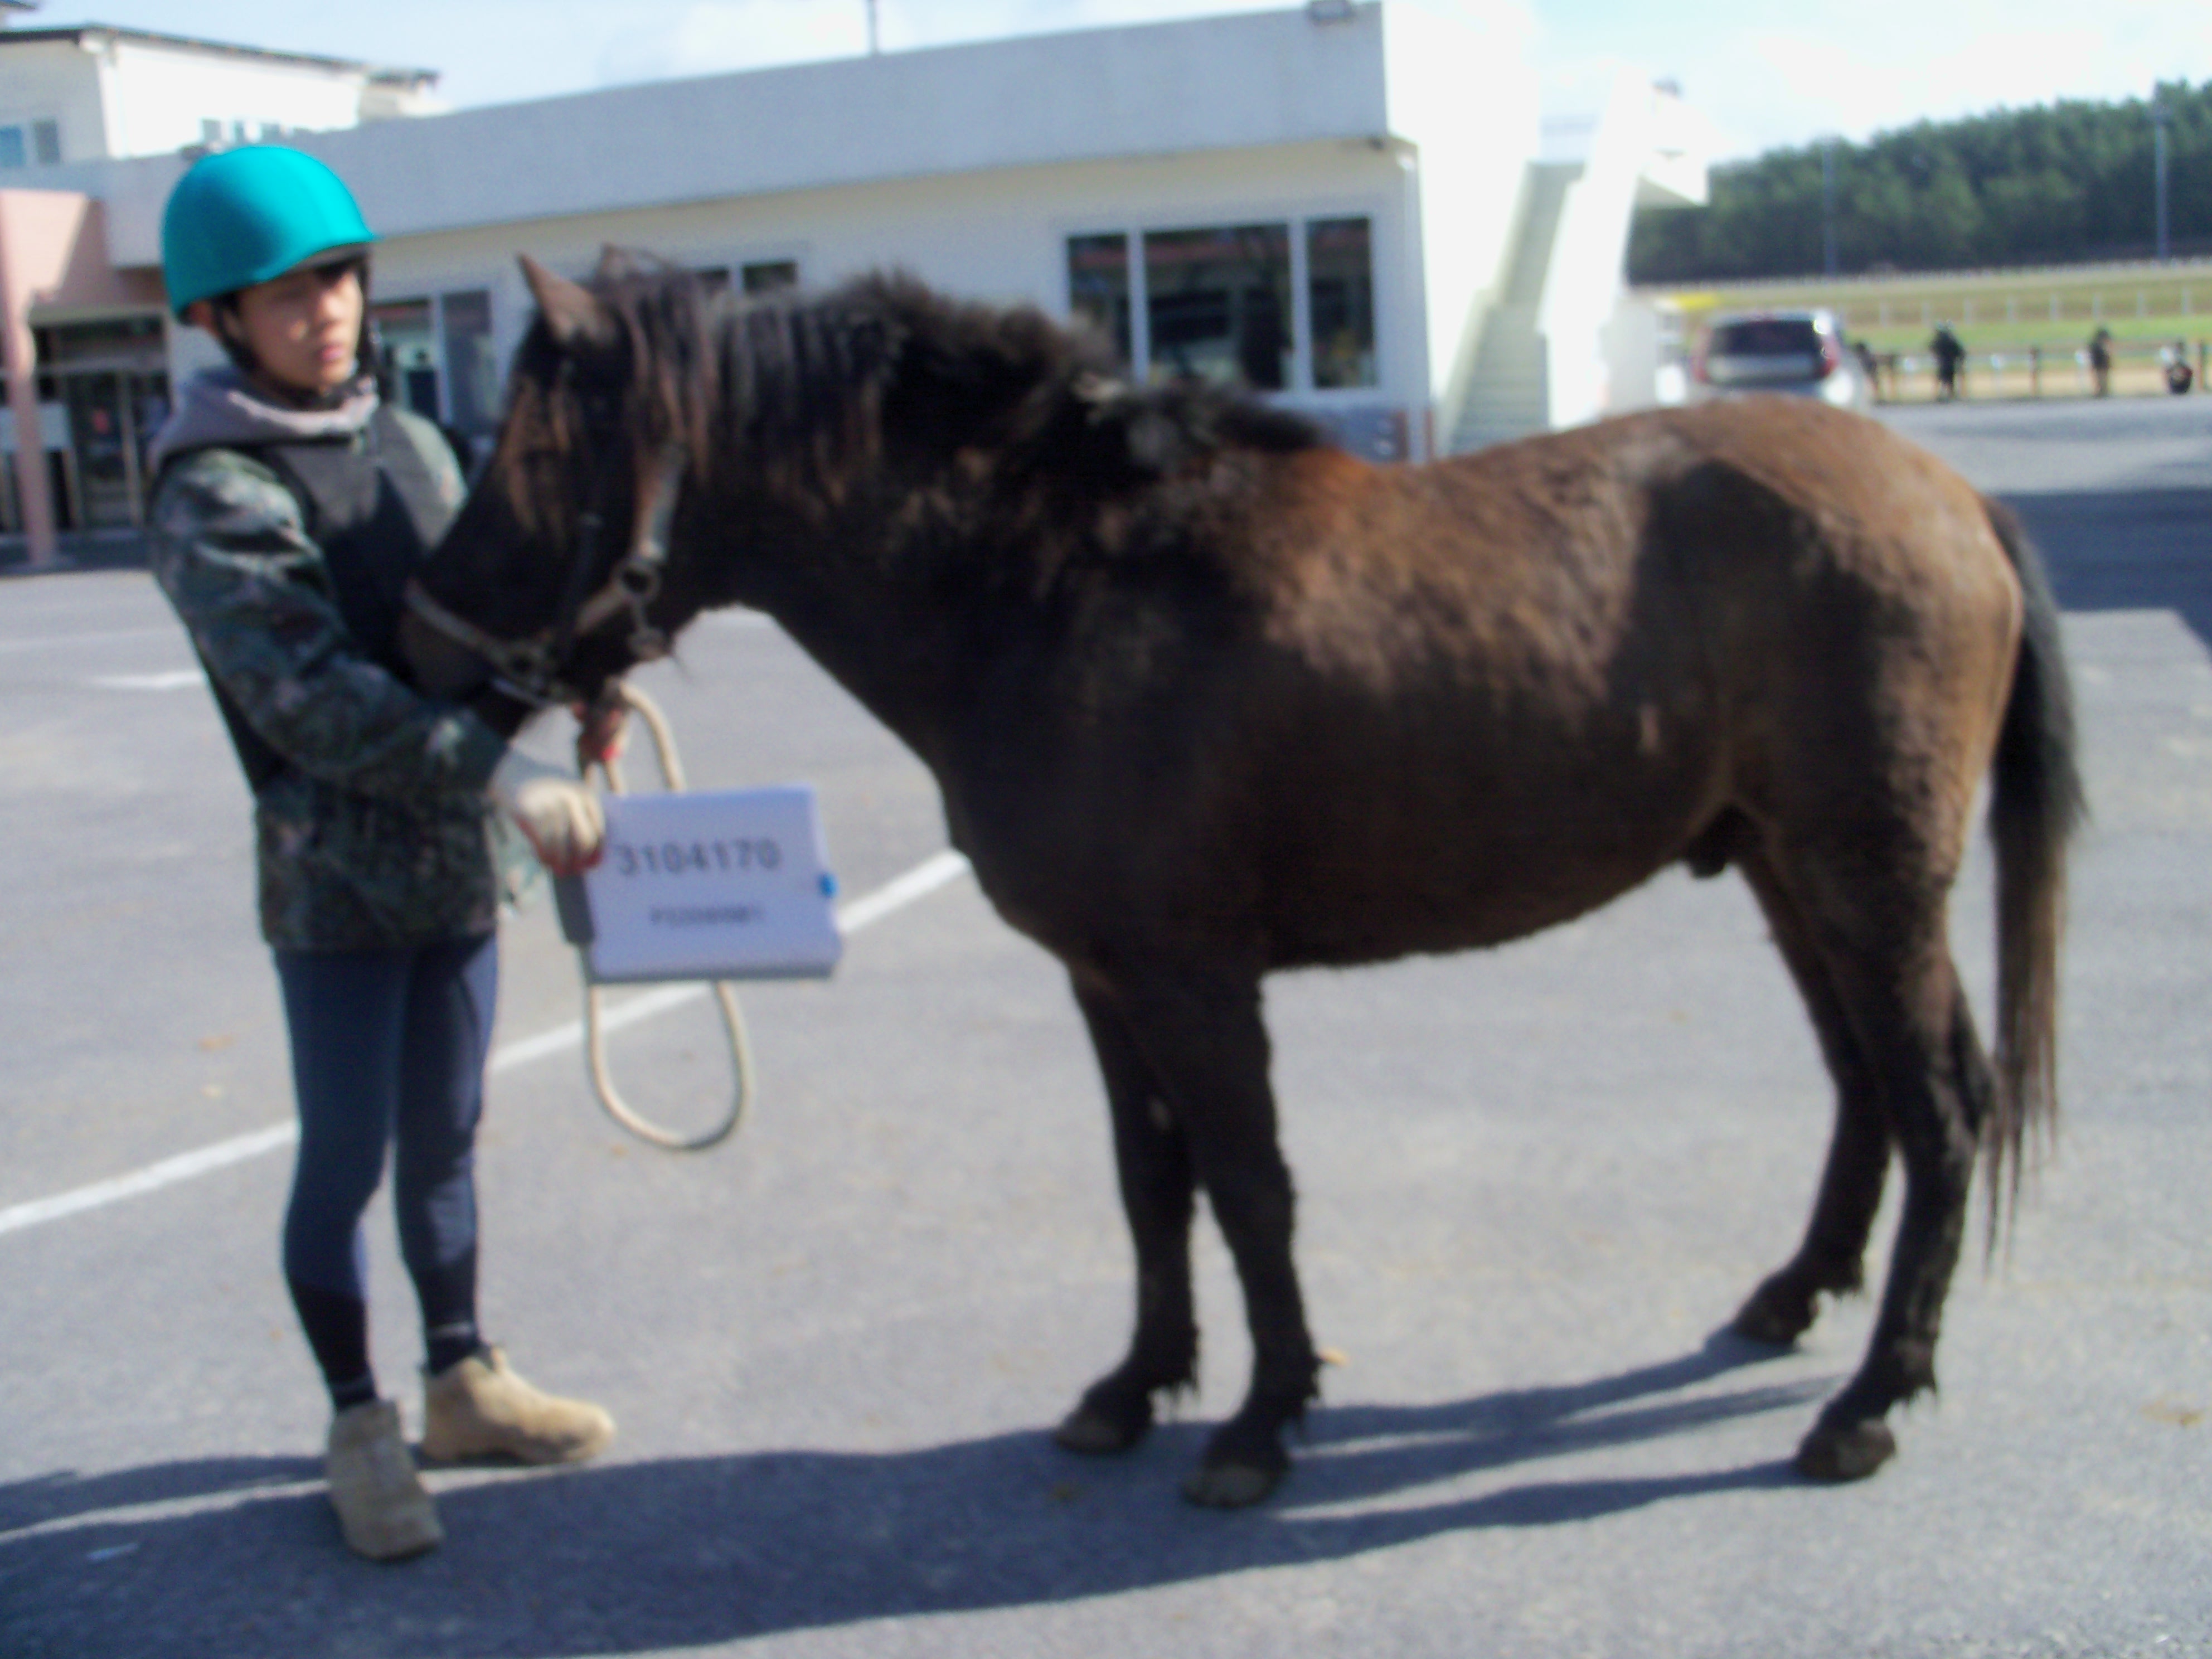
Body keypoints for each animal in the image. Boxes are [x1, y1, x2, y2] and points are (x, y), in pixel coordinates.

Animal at [407, 256, 2079, 1504]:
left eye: (541, 445)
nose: (420, 636)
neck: (1060, 583)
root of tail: (1951, 497)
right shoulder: (1104, 981)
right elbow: (1152, 1188)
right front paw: (1135, 1385)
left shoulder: (1193, 980)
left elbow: (1248, 1185)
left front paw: (1264, 1420)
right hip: (1790, 875)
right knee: (1863, 1087)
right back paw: (1794, 1298)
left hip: (1869, 879)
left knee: (1939, 1104)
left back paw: (1867, 1404)